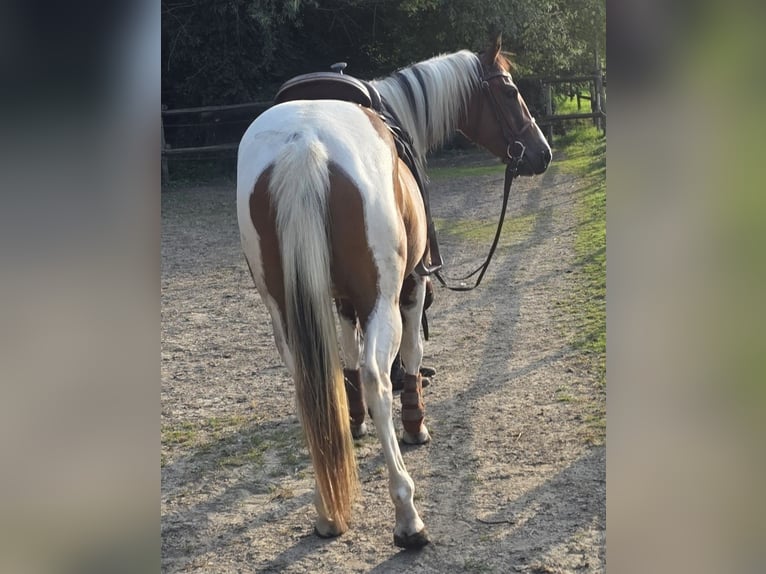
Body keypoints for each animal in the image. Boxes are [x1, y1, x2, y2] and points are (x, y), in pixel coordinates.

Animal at [236, 35, 551, 549]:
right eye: (508, 91)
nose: (541, 152)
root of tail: (303, 145)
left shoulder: (341, 302)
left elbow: (343, 359)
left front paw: (354, 422)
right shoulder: (414, 283)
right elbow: (411, 354)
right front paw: (415, 424)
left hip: (283, 311)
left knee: (311, 388)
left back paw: (327, 510)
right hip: (382, 300)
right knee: (376, 378)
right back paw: (407, 516)